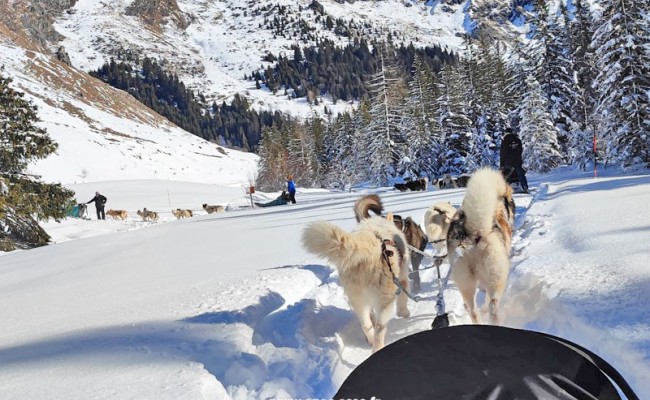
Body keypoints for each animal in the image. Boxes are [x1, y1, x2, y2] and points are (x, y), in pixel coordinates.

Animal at [300, 198, 410, 352]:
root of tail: (366, 244)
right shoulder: (402, 280)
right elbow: (403, 300)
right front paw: (404, 313)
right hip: (384, 301)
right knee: (379, 328)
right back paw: (377, 347)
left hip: (357, 299)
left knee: (366, 324)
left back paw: (369, 339)